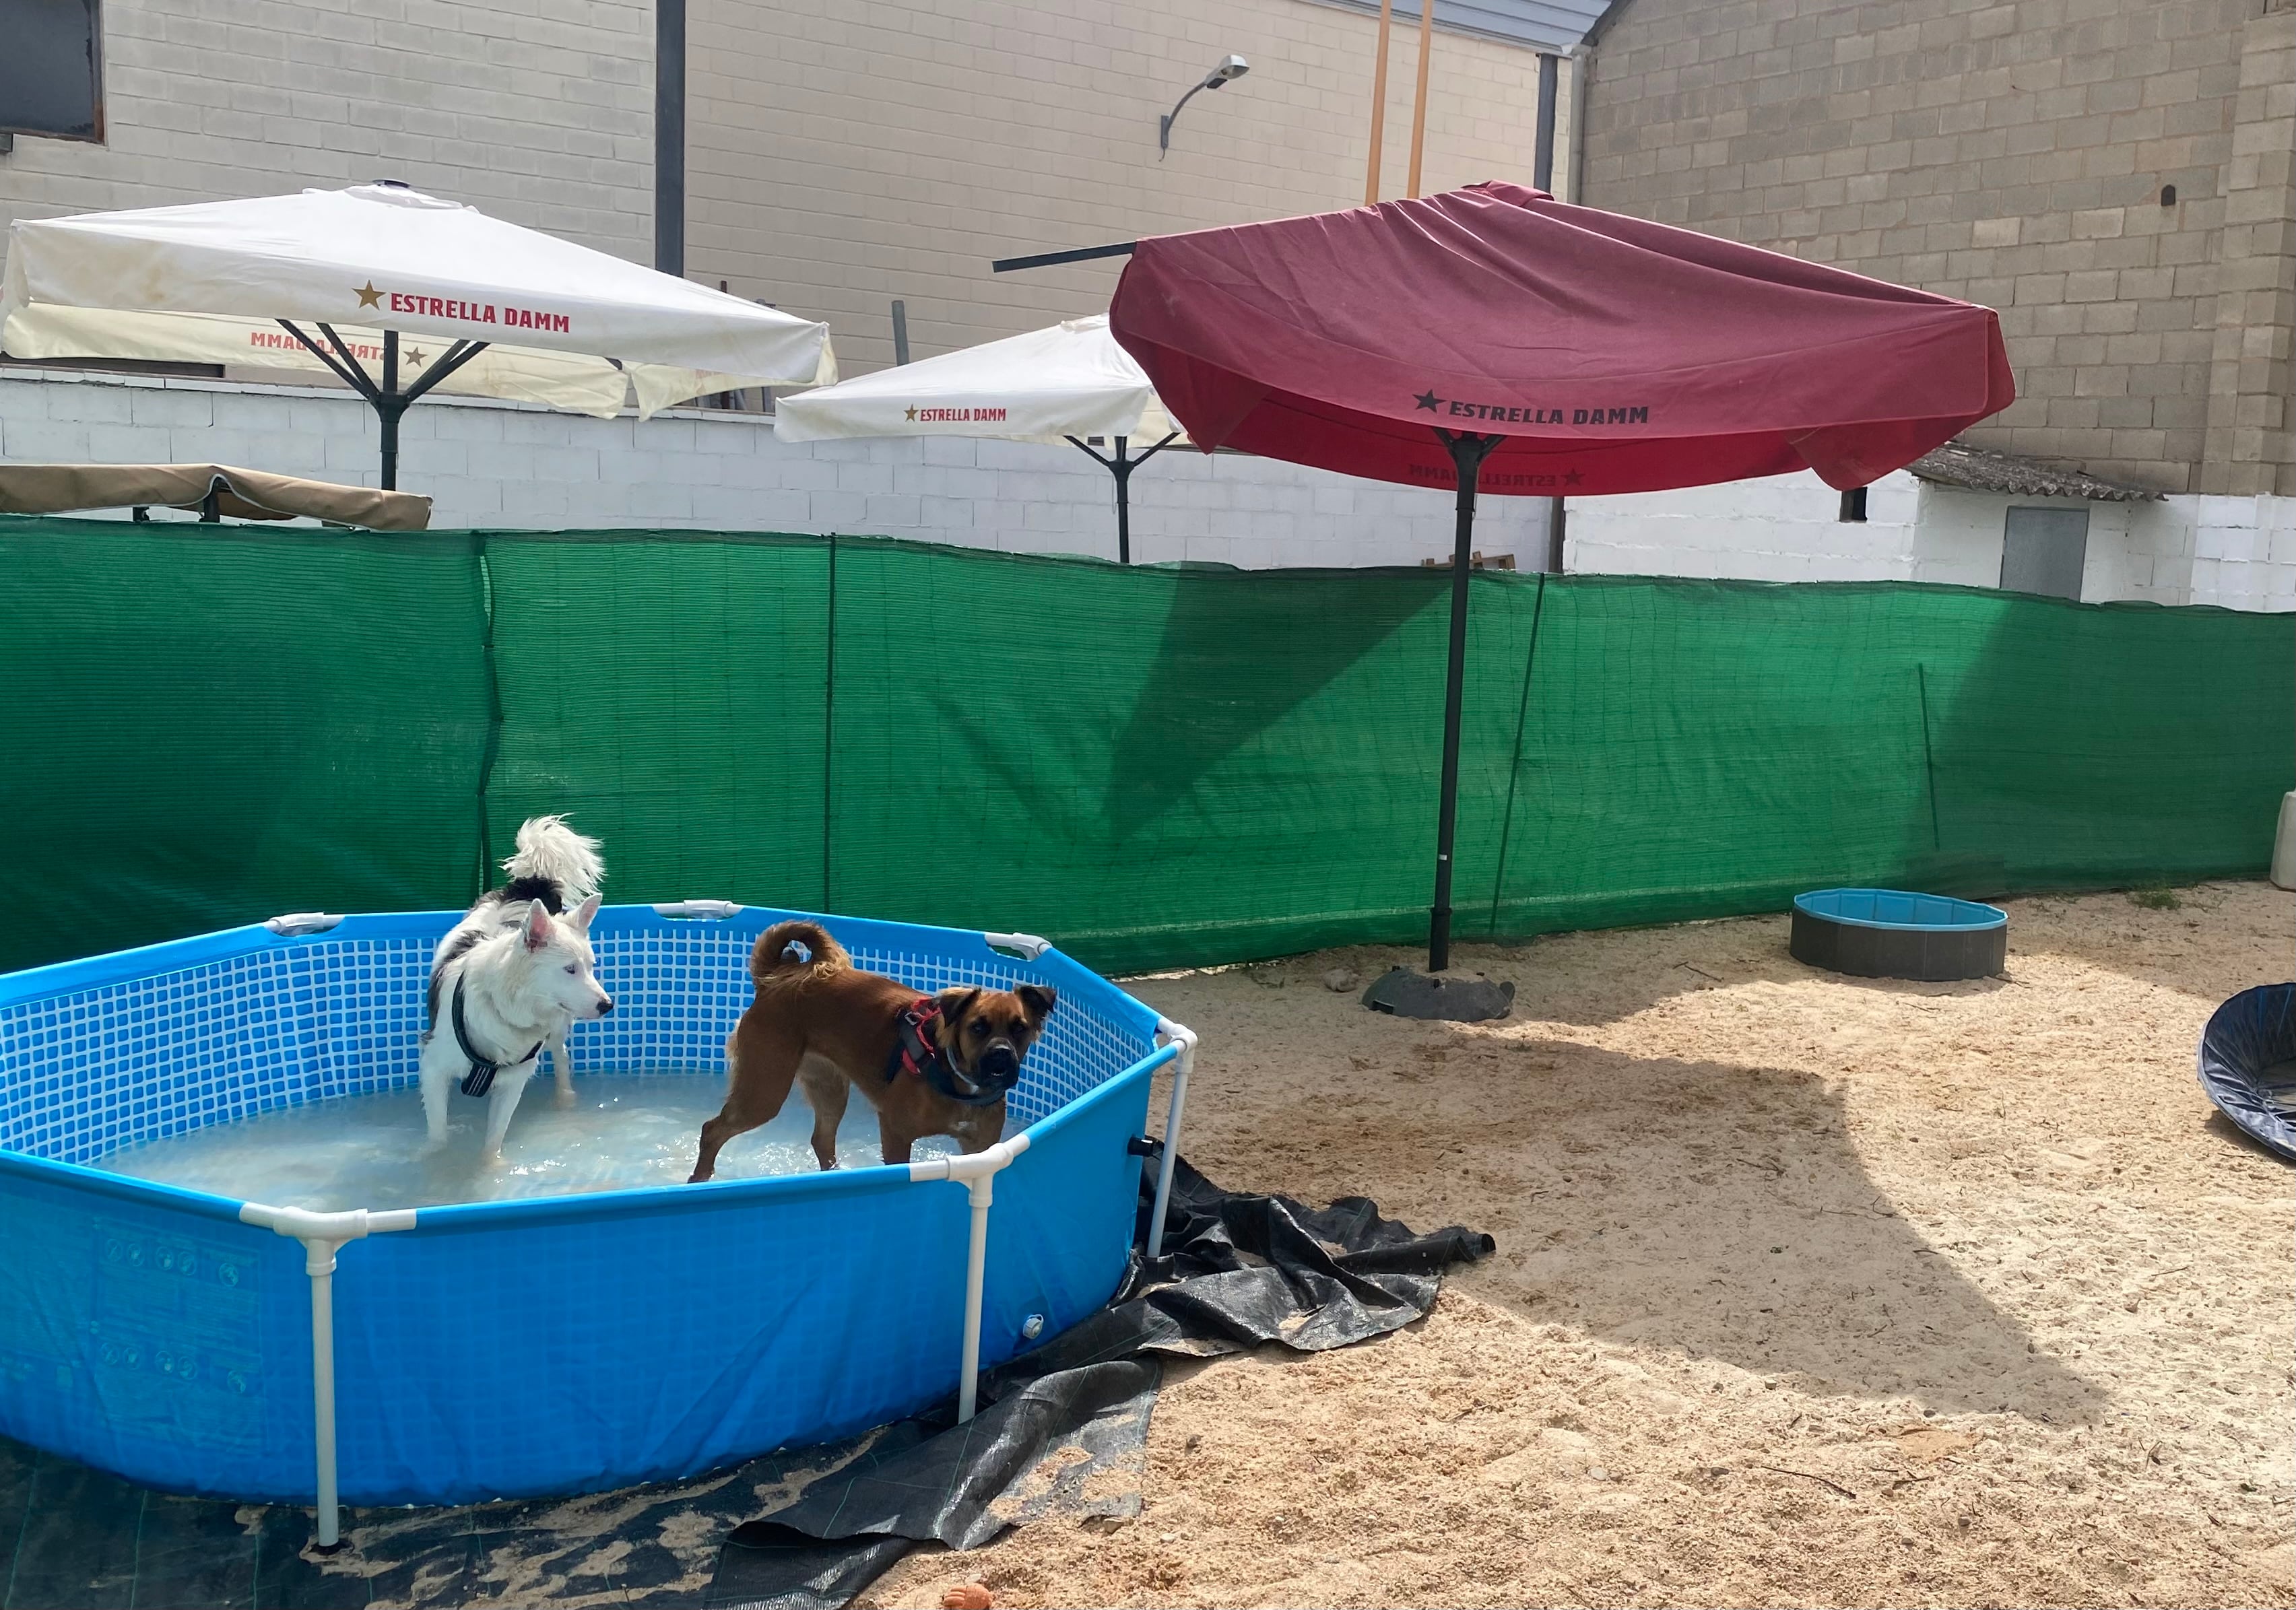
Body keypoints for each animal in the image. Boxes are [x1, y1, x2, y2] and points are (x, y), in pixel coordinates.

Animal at [422, 817, 615, 1158]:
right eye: (570, 969)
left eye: (591, 966)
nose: (608, 1005)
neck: (505, 1006)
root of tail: (529, 885)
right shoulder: (433, 1066)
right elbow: (439, 1134)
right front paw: (437, 1161)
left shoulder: (513, 1081)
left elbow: (493, 1140)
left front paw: (489, 1166)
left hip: (559, 1027)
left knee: (561, 1057)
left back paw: (564, 1099)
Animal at [688, 918, 1056, 1184]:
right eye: (977, 1027)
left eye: (1020, 1029)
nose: (1001, 1056)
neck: (953, 1074)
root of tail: (776, 980)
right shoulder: (896, 1134)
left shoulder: (979, 1147)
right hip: (764, 1091)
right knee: (713, 1130)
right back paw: (700, 1179)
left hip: (829, 1088)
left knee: (822, 1141)